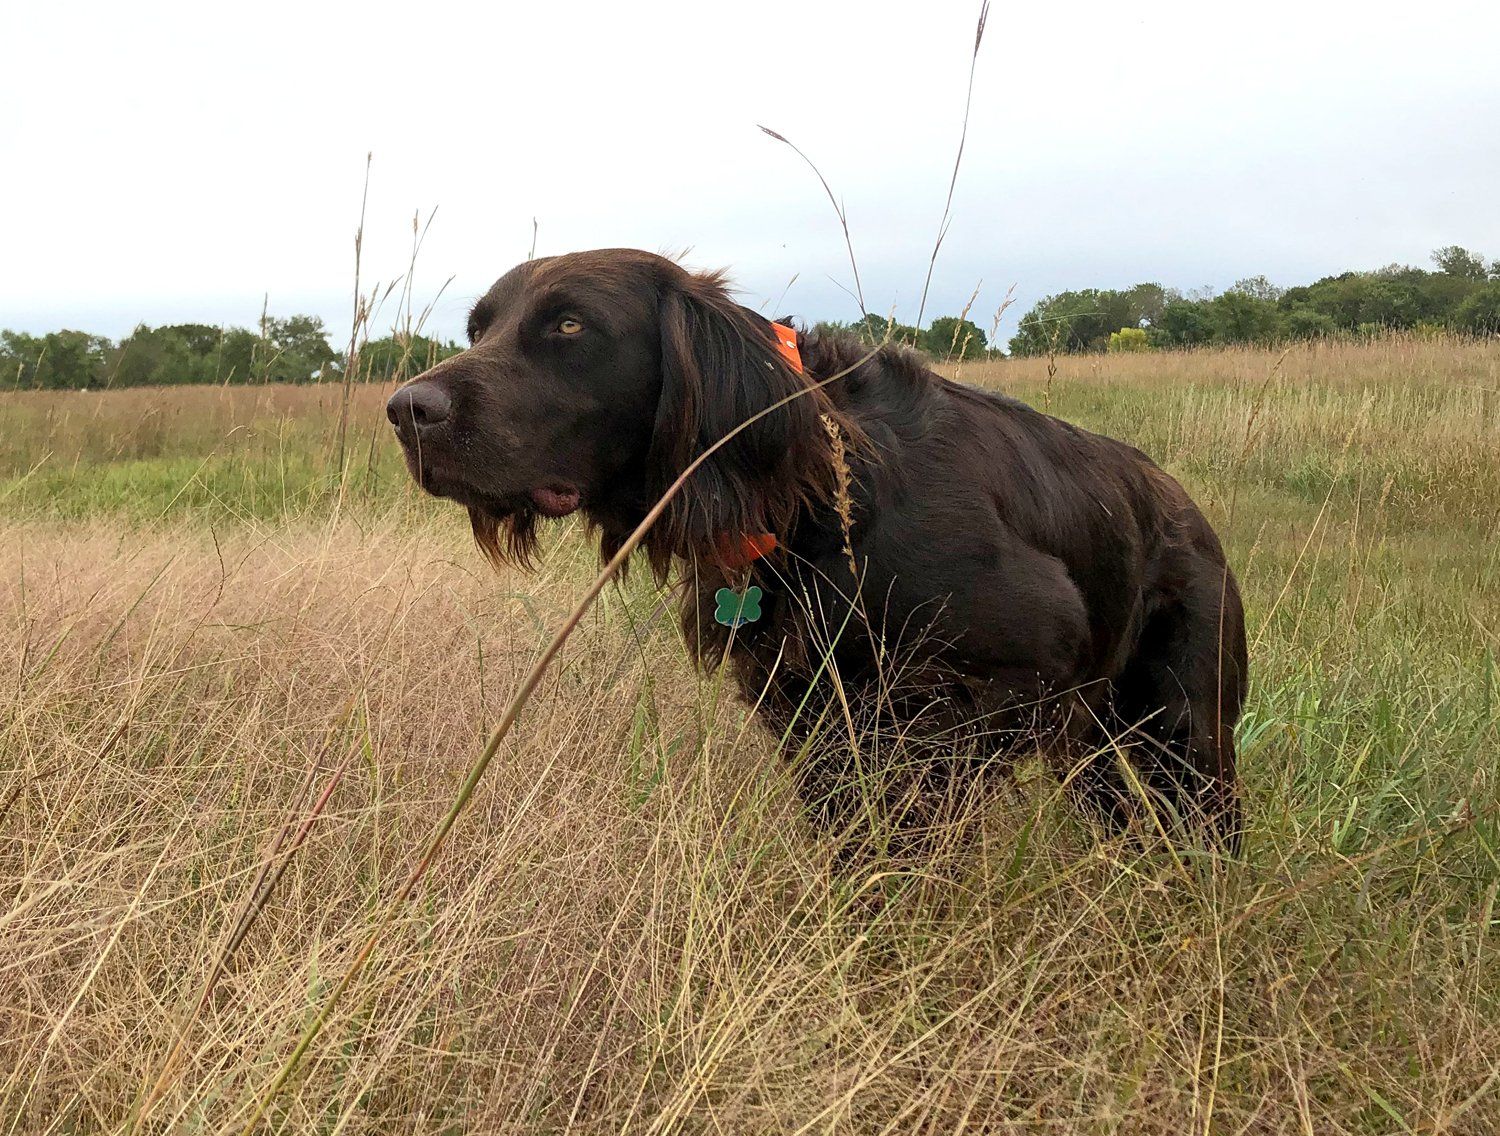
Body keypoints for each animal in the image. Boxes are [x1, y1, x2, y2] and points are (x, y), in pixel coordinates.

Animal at [387, 249, 1248, 851]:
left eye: (569, 326)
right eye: (478, 329)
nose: (405, 410)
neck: (815, 491)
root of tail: (1187, 507)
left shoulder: (1010, 675)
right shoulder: (806, 718)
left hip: (1185, 733)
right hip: (1102, 750)